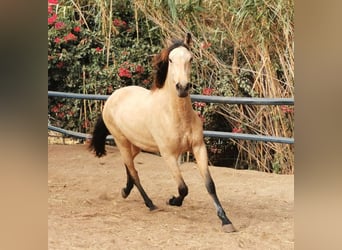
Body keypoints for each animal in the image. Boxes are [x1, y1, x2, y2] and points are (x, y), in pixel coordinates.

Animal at [89, 33, 236, 232]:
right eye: (171, 60)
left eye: (191, 58)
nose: (182, 87)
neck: (176, 115)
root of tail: (112, 97)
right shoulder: (168, 155)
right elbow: (183, 188)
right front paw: (173, 201)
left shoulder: (199, 148)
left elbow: (210, 185)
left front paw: (225, 220)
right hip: (121, 141)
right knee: (133, 171)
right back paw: (150, 204)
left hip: (136, 144)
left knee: (129, 166)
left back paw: (126, 191)